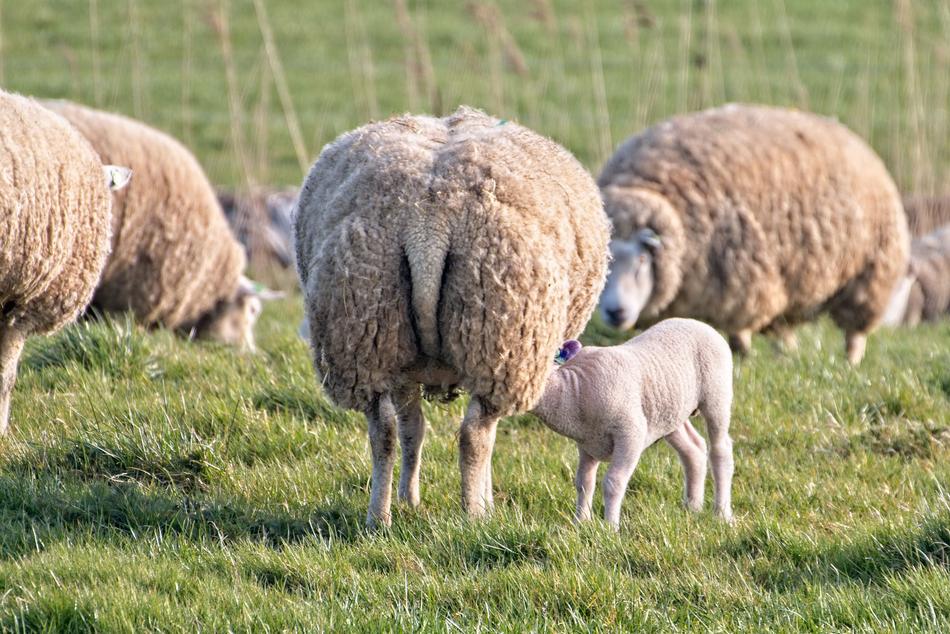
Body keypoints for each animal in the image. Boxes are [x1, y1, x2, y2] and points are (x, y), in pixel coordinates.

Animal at [294, 106, 611, 527]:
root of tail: (429, 220)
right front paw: (484, 500)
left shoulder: (404, 368)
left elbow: (412, 429)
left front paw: (410, 497)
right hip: (499, 341)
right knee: (475, 434)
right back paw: (475, 515)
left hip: (368, 331)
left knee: (384, 433)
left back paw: (380, 516)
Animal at [531, 319, 734, 529]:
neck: (573, 388)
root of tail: (699, 323)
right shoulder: (587, 444)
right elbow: (583, 482)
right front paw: (580, 522)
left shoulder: (630, 433)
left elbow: (613, 482)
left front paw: (610, 528)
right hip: (671, 410)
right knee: (694, 449)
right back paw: (693, 507)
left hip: (716, 395)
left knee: (721, 450)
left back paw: (722, 514)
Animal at [598, 104, 910, 364]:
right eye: (604, 267)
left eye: (641, 261)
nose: (616, 312)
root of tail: (844, 131)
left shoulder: (745, 280)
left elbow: (740, 331)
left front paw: (742, 357)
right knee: (784, 327)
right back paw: (785, 356)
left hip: (869, 274)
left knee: (854, 332)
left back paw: (849, 362)